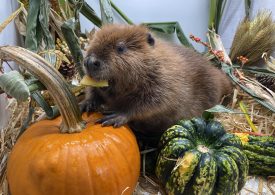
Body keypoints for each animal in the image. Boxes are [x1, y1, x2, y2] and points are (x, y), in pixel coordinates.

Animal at [81, 24, 234, 133]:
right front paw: (85, 104)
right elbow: (93, 90)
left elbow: (152, 103)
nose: (90, 61)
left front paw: (115, 116)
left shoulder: (165, 81)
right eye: (92, 41)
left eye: (120, 48)